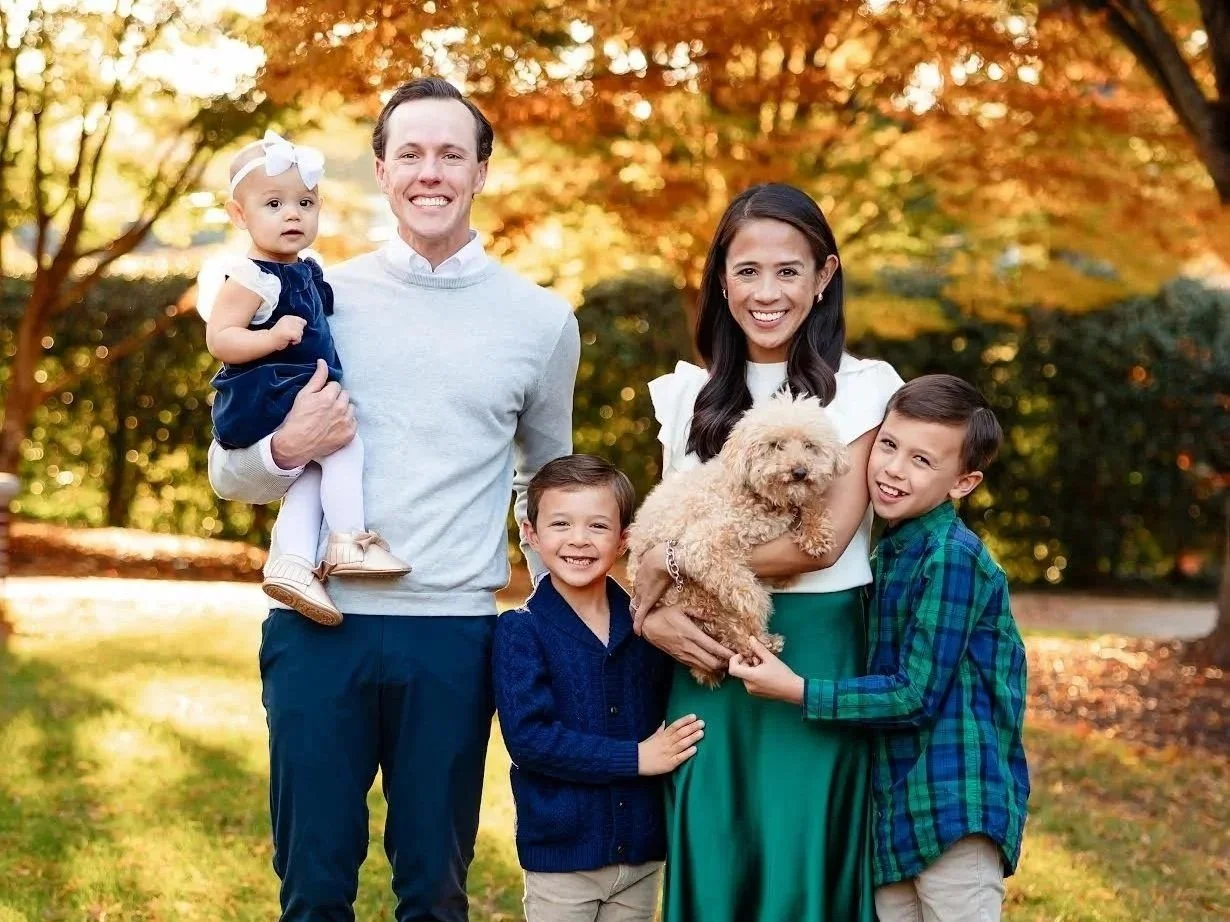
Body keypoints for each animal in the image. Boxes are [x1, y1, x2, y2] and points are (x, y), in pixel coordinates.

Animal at [627, 391, 851, 687]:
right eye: (775, 445)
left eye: (809, 445)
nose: (800, 471)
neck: (760, 498)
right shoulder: (703, 547)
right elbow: (746, 590)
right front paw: (760, 607)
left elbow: (809, 507)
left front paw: (816, 534)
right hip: (692, 595)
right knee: (730, 627)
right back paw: (759, 643)